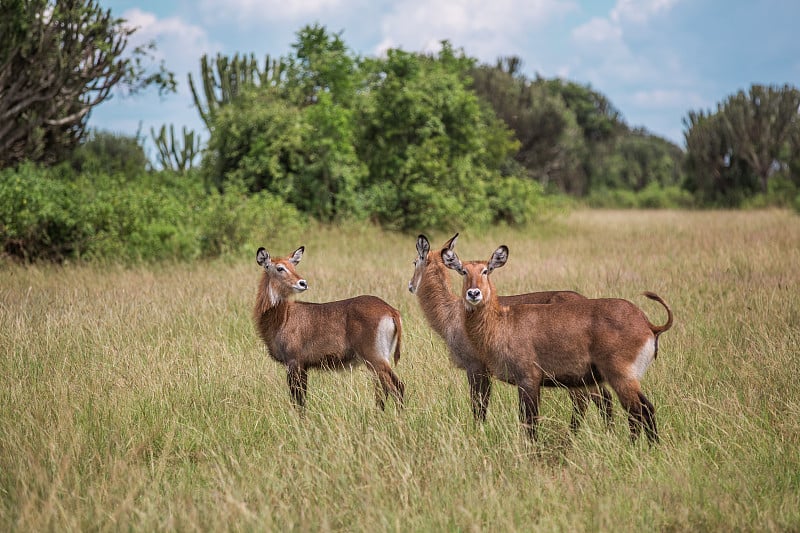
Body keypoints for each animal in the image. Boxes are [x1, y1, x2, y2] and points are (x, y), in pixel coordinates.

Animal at [255, 245, 406, 412]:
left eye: (293, 266)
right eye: (280, 268)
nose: (303, 283)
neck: (283, 316)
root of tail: (391, 310)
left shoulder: (294, 362)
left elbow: (298, 401)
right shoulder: (303, 366)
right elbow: (302, 399)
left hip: (375, 358)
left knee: (397, 387)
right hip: (381, 359)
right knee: (383, 391)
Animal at [410, 233, 616, 428]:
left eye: (414, 261)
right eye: (463, 271)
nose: (410, 285)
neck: (451, 313)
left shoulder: (476, 366)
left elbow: (479, 406)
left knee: (586, 399)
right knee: (603, 397)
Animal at [440, 244, 672, 440]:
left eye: (486, 270)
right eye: (463, 271)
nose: (473, 293)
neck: (502, 322)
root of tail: (648, 324)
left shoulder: (528, 380)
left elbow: (529, 423)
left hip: (620, 378)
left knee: (639, 412)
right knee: (643, 411)